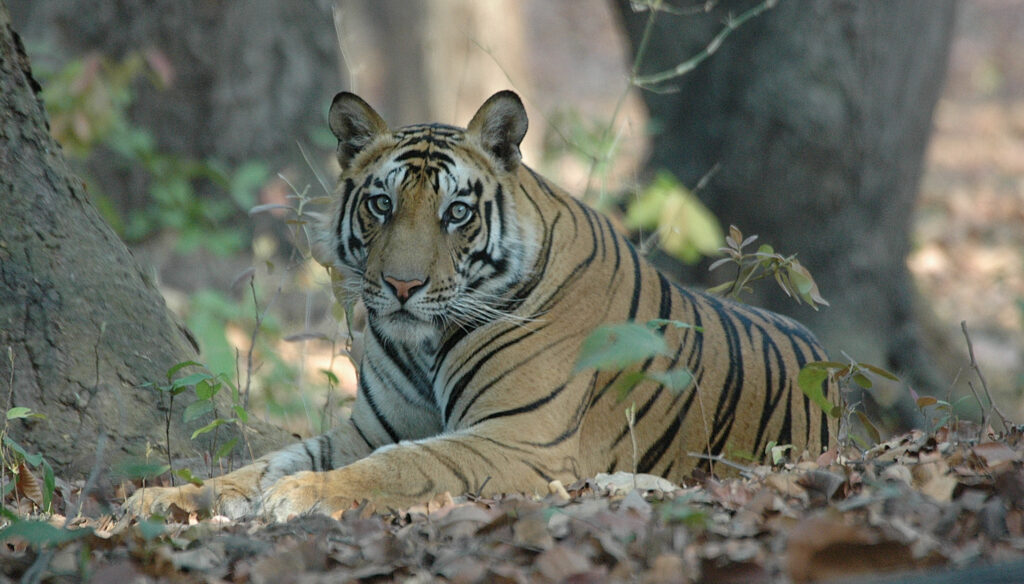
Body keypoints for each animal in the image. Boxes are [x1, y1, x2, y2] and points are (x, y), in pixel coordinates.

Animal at [127, 90, 835, 521]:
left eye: (456, 213)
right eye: (381, 203)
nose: (402, 286)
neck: (422, 343)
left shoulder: (520, 439)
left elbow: (407, 464)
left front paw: (300, 495)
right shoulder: (367, 430)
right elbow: (262, 462)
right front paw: (167, 500)